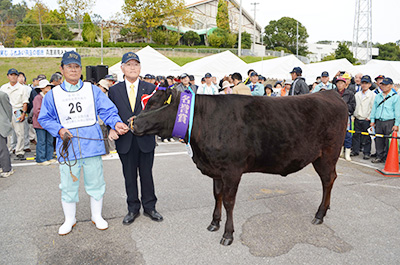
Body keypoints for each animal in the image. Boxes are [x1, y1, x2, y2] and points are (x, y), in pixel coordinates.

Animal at [130, 88, 346, 245]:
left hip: (327, 155)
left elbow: (228, 202)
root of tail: (329, 92)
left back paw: (319, 214)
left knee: (328, 180)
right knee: (330, 179)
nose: (132, 123)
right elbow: (217, 195)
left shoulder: (232, 171)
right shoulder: (217, 170)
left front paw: (227, 234)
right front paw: (214, 223)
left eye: (153, 104)